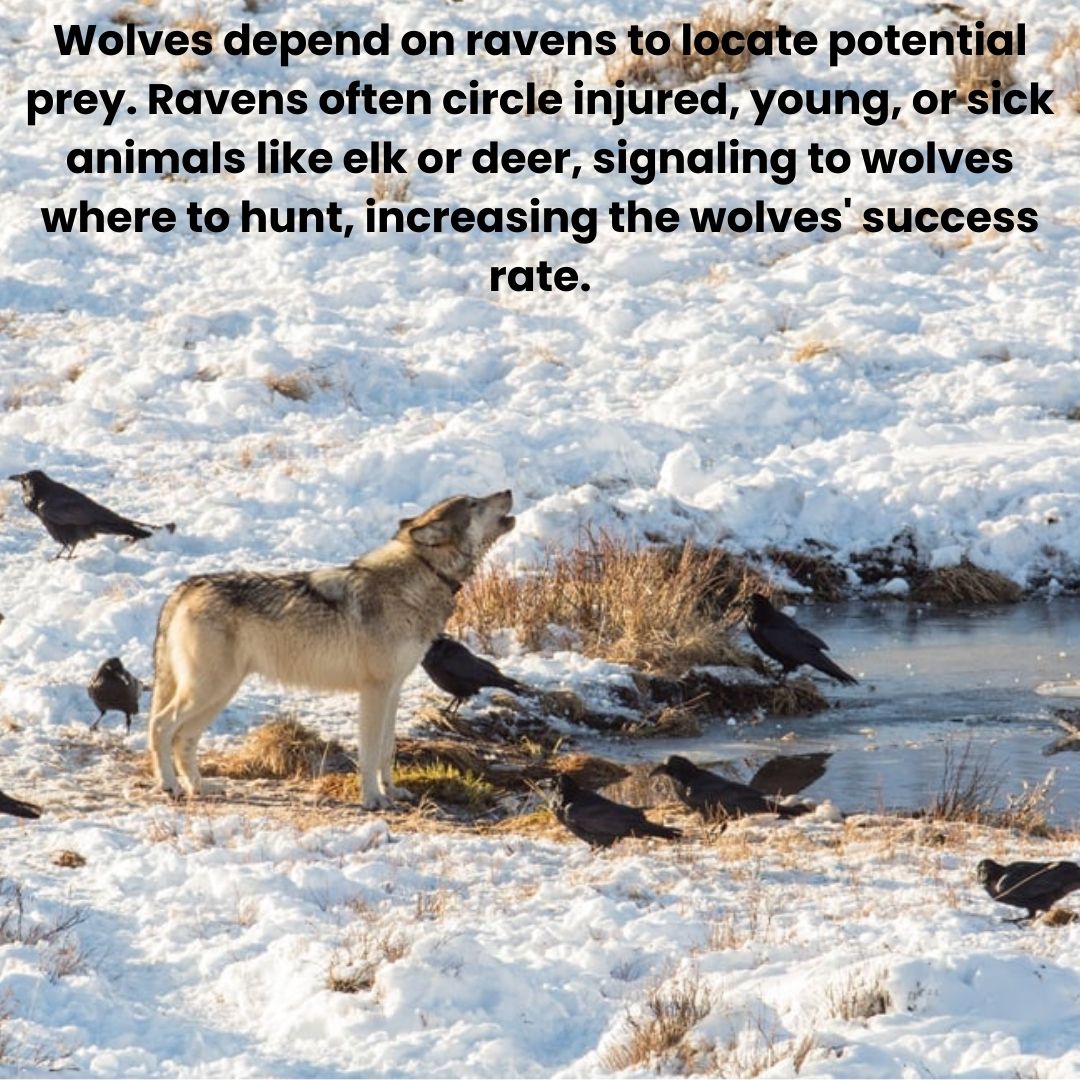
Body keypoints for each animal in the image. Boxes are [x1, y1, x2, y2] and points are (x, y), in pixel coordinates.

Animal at [148, 491, 514, 808]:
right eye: (474, 503)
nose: (508, 491)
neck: (421, 576)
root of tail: (185, 587)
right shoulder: (374, 691)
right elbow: (369, 752)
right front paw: (373, 800)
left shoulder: (393, 690)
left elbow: (387, 750)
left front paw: (392, 791)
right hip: (208, 690)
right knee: (161, 727)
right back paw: (170, 786)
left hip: (219, 694)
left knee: (184, 739)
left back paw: (199, 787)